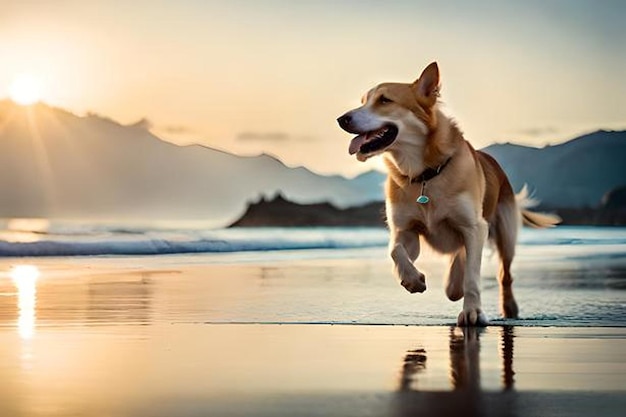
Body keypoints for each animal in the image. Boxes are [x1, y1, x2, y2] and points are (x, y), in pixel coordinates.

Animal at [336, 61, 556, 324]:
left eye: (385, 100)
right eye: (363, 101)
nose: (341, 119)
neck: (423, 174)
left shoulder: (474, 226)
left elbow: (473, 275)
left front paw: (472, 311)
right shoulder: (406, 230)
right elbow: (396, 251)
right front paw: (412, 280)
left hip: (505, 232)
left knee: (504, 274)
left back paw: (508, 307)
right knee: (458, 264)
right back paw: (453, 281)